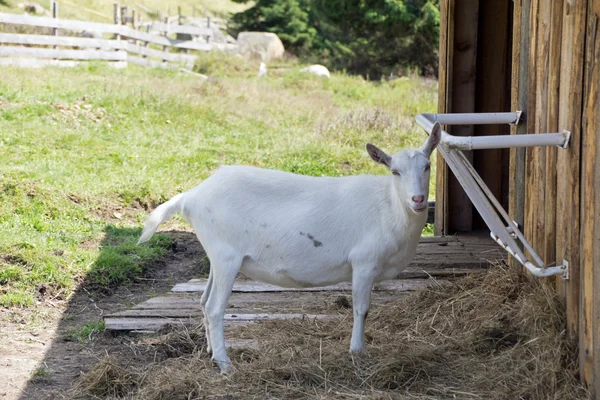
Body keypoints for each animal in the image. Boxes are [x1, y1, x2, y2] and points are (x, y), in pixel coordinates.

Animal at [139, 123, 440, 374]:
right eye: (395, 171)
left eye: (427, 166)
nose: (418, 199)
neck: (389, 206)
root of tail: (190, 197)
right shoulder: (364, 262)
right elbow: (361, 309)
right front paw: (358, 351)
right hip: (226, 256)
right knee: (214, 307)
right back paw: (225, 365)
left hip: (216, 255)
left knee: (203, 301)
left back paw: (211, 352)